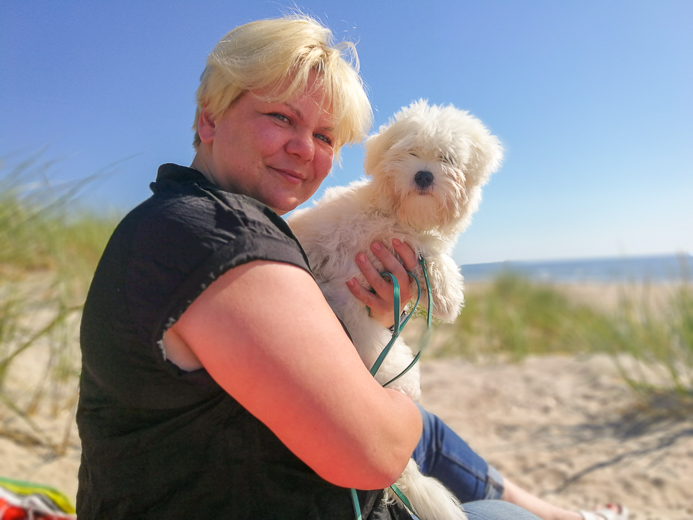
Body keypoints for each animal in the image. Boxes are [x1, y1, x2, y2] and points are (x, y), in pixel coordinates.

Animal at [286, 100, 502, 520]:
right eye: (410, 151)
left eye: (446, 158)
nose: (423, 175)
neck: (397, 215)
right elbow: (426, 251)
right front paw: (450, 292)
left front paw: (445, 291)